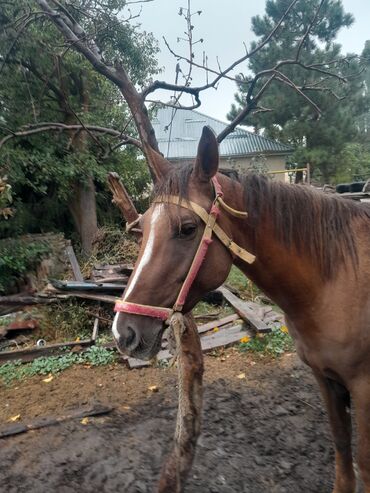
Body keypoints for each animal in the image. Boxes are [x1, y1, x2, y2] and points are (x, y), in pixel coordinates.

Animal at [112, 127, 370, 492]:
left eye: (187, 228)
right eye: (144, 227)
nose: (124, 332)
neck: (336, 281)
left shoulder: (364, 388)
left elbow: (364, 464)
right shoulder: (325, 378)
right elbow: (342, 450)